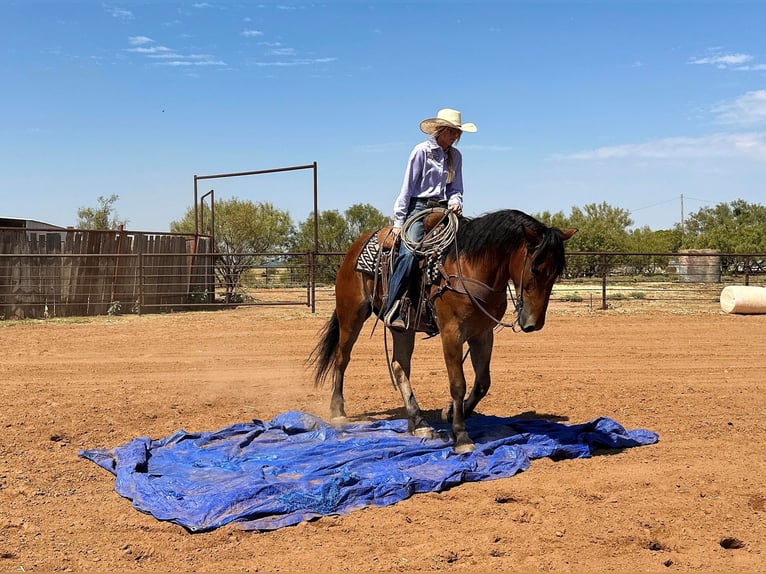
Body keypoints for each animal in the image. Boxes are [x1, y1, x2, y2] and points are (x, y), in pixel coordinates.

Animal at [308, 209, 580, 456]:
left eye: (557, 272)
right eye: (535, 268)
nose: (534, 323)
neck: (470, 268)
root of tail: (355, 247)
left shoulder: (482, 334)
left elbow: (482, 382)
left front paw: (450, 413)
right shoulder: (452, 333)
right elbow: (458, 383)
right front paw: (461, 435)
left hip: (403, 328)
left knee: (399, 365)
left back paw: (417, 422)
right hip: (351, 315)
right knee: (342, 359)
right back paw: (338, 412)